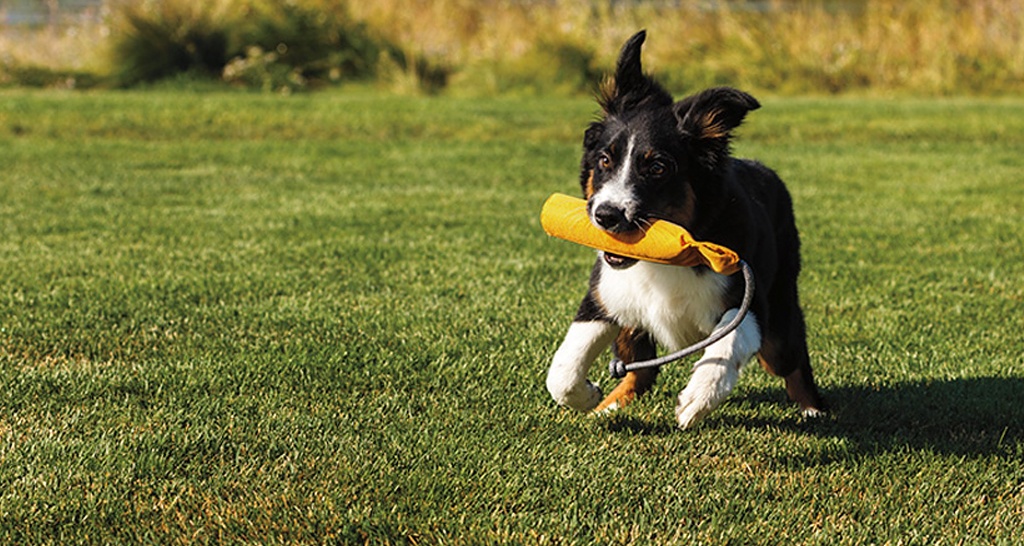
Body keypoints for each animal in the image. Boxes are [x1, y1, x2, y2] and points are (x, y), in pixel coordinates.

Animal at [544, 31, 823, 428]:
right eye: (604, 160)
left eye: (657, 168)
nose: (606, 215)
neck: (665, 259)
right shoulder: (604, 297)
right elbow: (563, 370)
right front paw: (588, 395)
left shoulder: (750, 302)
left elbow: (725, 343)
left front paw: (698, 399)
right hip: (631, 330)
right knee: (640, 371)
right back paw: (610, 404)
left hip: (780, 317)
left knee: (792, 360)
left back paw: (813, 409)